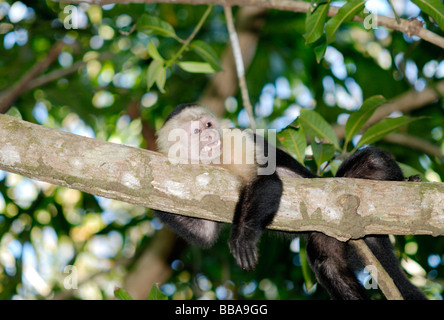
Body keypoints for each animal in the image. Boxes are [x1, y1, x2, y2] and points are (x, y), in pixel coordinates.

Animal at [153, 103, 426, 300]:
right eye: (197, 131)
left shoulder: (234, 141)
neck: (214, 161)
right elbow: (206, 235)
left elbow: (267, 181)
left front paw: (242, 237)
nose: (210, 135)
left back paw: (407, 181)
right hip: (330, 236)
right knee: (327, 264)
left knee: (374, 159)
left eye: (208, 124)